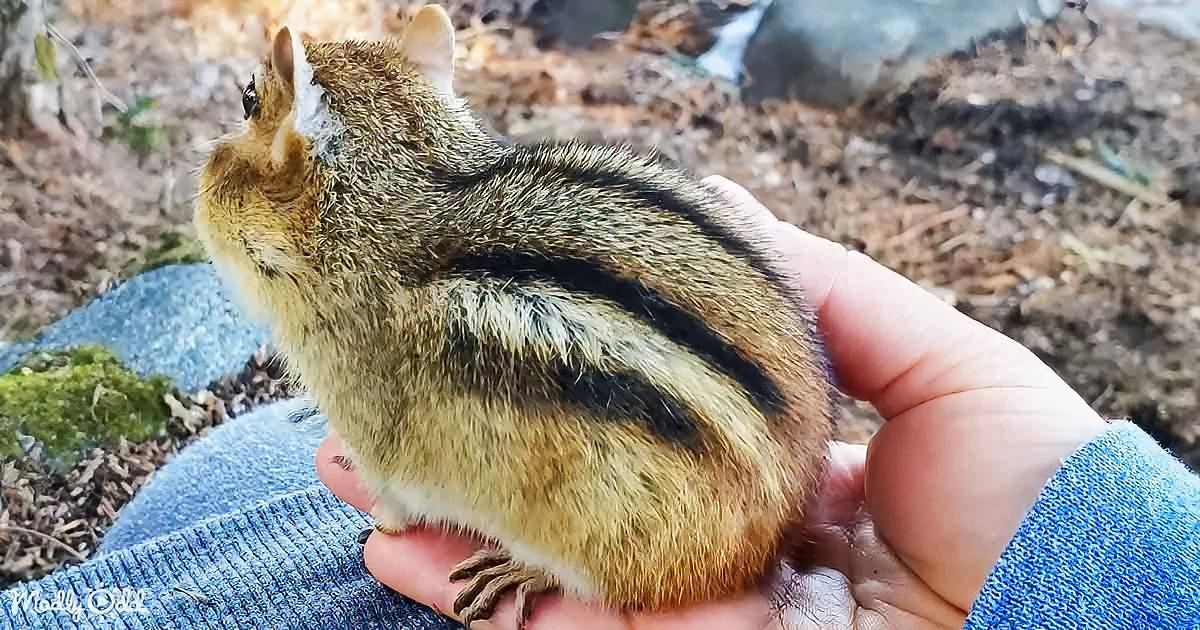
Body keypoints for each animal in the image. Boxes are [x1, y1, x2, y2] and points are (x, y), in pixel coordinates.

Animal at [194, 4, 833, 627]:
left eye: (249, 97)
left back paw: (516, 571)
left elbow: (395, 505)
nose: (204, 171)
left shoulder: (376, 438)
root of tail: (783, 527)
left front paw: (378, 525)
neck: (391, 215)